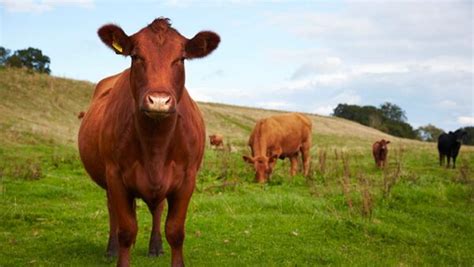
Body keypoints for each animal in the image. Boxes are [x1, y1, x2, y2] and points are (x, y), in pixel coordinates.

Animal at [77, 17, 219, 266]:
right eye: (136, 56)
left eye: (181, 58)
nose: (159, 101)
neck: (156, 145)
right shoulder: (115, 176)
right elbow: (126, 230)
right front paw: (121, 252)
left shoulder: (187, 179)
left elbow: (175, 231)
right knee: (113, 210)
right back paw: (111, 249)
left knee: (157, 209)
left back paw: (155, 246)